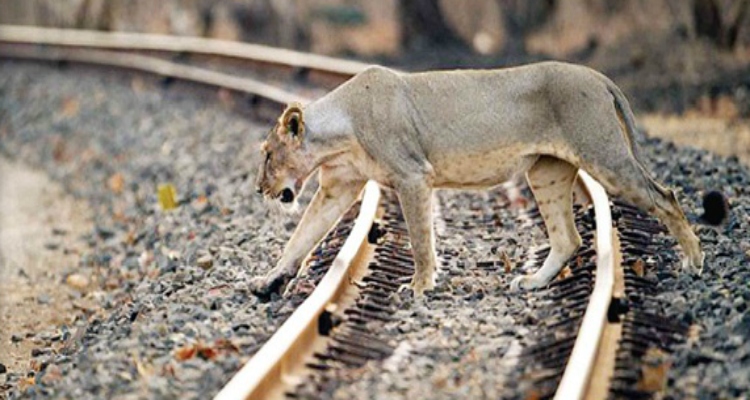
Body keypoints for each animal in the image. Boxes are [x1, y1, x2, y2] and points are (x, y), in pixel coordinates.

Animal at [251, 61, 704, 296]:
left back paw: (693, 262)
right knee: (567, 238)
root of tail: (599, 77)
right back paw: (532, 282)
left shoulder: (412, 176)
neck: (339, 131)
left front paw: (420, 286)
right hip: (546, 172)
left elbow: (420, 240)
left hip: (604, 155)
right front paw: (268, 279)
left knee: (666, 197)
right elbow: (301, 237)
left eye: (268, 155)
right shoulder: (337, 187)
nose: (260, 188)